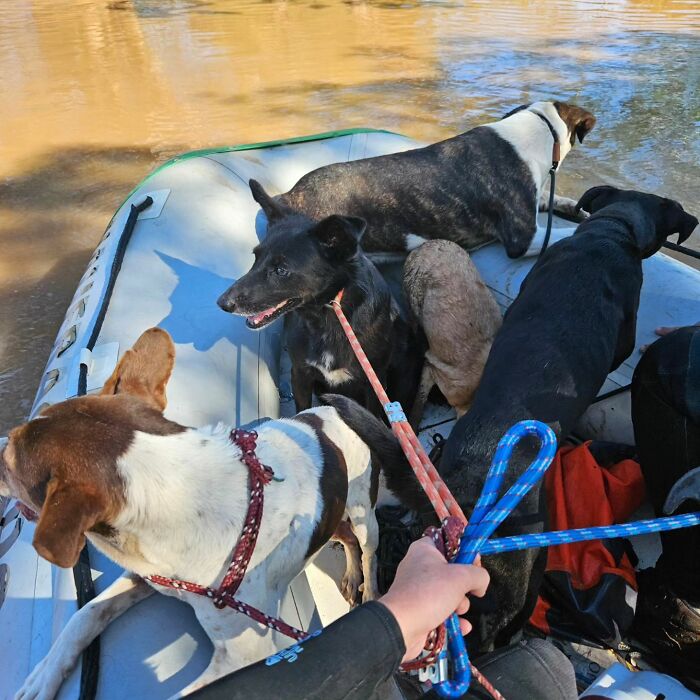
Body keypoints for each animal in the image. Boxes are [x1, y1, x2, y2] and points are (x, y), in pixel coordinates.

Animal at [1, 328, 422, 700]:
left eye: (9, 462)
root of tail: (326, 412)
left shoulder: (245, 655)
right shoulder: (149, 574)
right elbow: (84, 614)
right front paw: (42, 677)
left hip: (363, 511)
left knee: (367, 549)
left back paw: (368, 587)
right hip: (329, 513)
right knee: (343, 535)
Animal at [217, 180, 422, 418]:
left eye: (281, 270)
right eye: (255, 258)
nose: (222, 303)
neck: (328, 314)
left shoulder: (375, 384)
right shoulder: (300, 374)